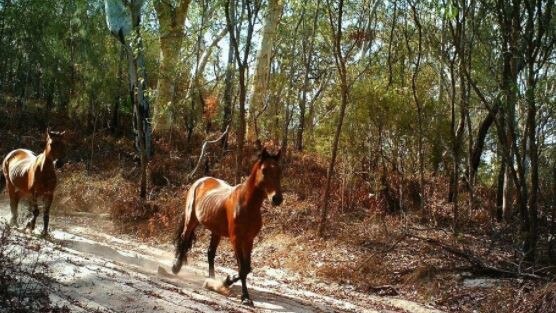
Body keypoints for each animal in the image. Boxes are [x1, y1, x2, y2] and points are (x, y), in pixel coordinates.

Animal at [173, 147, 282, 304]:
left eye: (280, 170)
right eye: (264, 170)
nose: (277, 198)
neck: (247, 205)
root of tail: (200, 181)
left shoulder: (248, 240)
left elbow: (247, 268)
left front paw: (226, 283)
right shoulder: (236, 239)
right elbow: (242, 268)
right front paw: (242, 294)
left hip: (216, 231)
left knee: (210, 253)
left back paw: (211, 280)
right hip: (191, 221)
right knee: (184, 240)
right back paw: (176, 267)